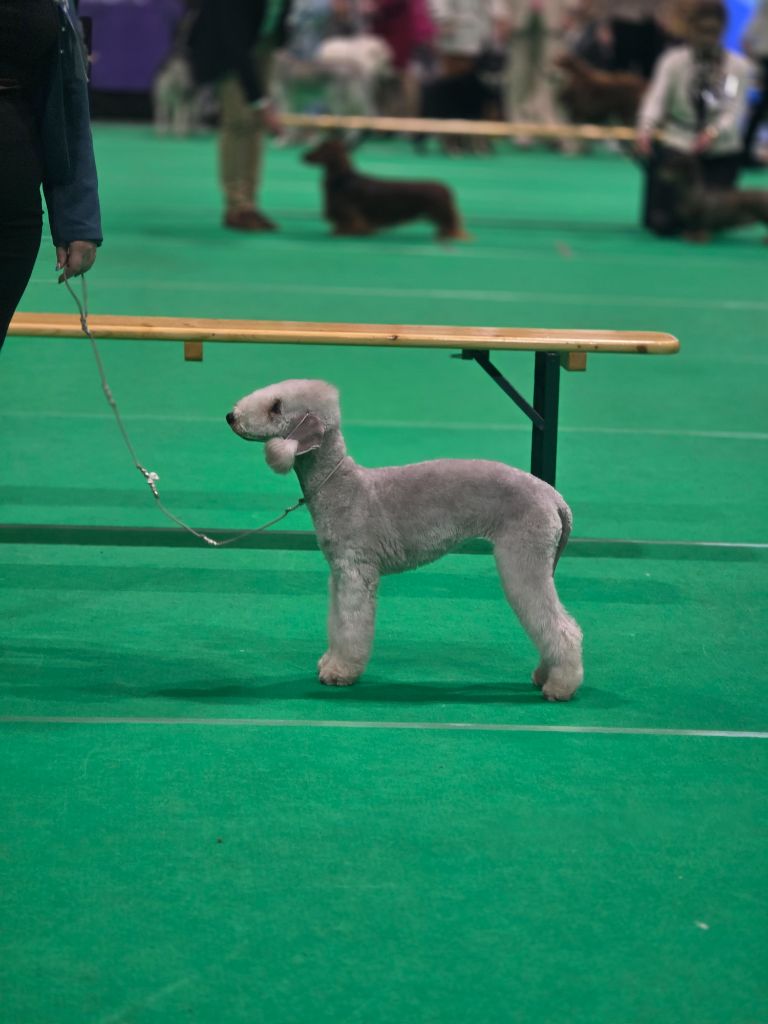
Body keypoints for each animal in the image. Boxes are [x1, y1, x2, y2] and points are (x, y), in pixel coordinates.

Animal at [226, 379, 584, 701]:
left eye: (276, 407)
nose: (231, 416)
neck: (340, 485)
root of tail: (553, 496)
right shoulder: (339, 573)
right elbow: (337, 621)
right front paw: (330, 661)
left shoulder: (355, 571)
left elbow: (352, 624)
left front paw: (340, 672)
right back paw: (544, 674)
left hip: (524, 556)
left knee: (561, 628)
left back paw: (560, 687)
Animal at [303, 138, 468, 240]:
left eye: (322, 148)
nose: (304, 156)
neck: (343, 179)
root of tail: (446, 188)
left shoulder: (349, 213)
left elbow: (349, 226)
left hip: (441, 212)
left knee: (450, 226)